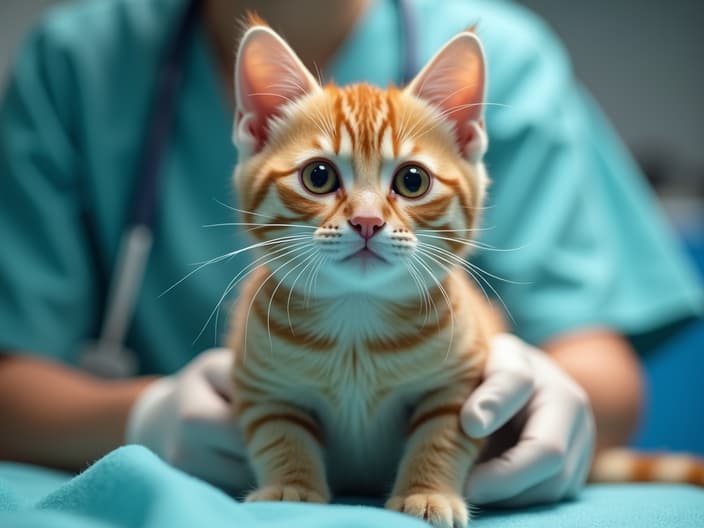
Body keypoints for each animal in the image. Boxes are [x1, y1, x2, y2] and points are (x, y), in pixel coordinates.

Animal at [228, 18, 492, 524]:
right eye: (318, 176)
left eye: (412, 180)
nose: (367, 221)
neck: (356, 321)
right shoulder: (262, 384)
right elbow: (279, 433)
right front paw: (289, 490)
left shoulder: (461, 381)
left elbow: (442, 435)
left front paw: (427, 492)